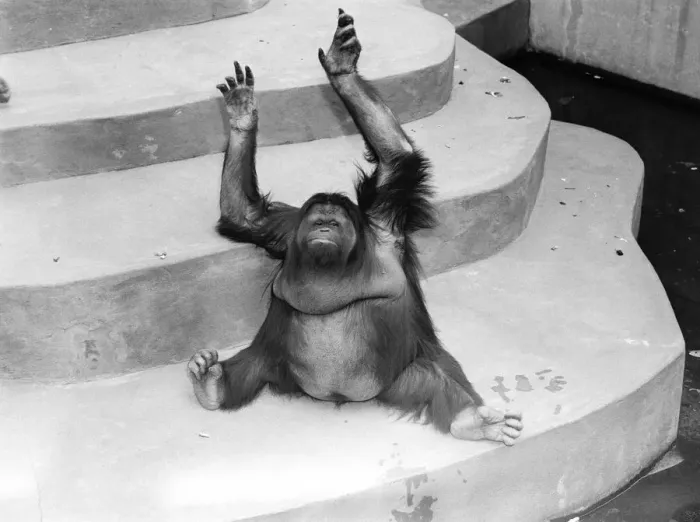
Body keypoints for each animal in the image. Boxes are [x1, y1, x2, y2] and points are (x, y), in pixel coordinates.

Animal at [187, 9, 523, 445]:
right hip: (276, 362)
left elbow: (397, 157)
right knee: (253, 362)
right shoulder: (285, 229)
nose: (325, 229)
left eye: (335, 222)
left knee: (436, 378)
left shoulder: (384, 218)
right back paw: (213, 383)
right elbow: (244, 216)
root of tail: (337, 396)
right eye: (319, 221)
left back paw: (474, 419)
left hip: (406, 374)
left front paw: (342, 68)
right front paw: (243, 114)